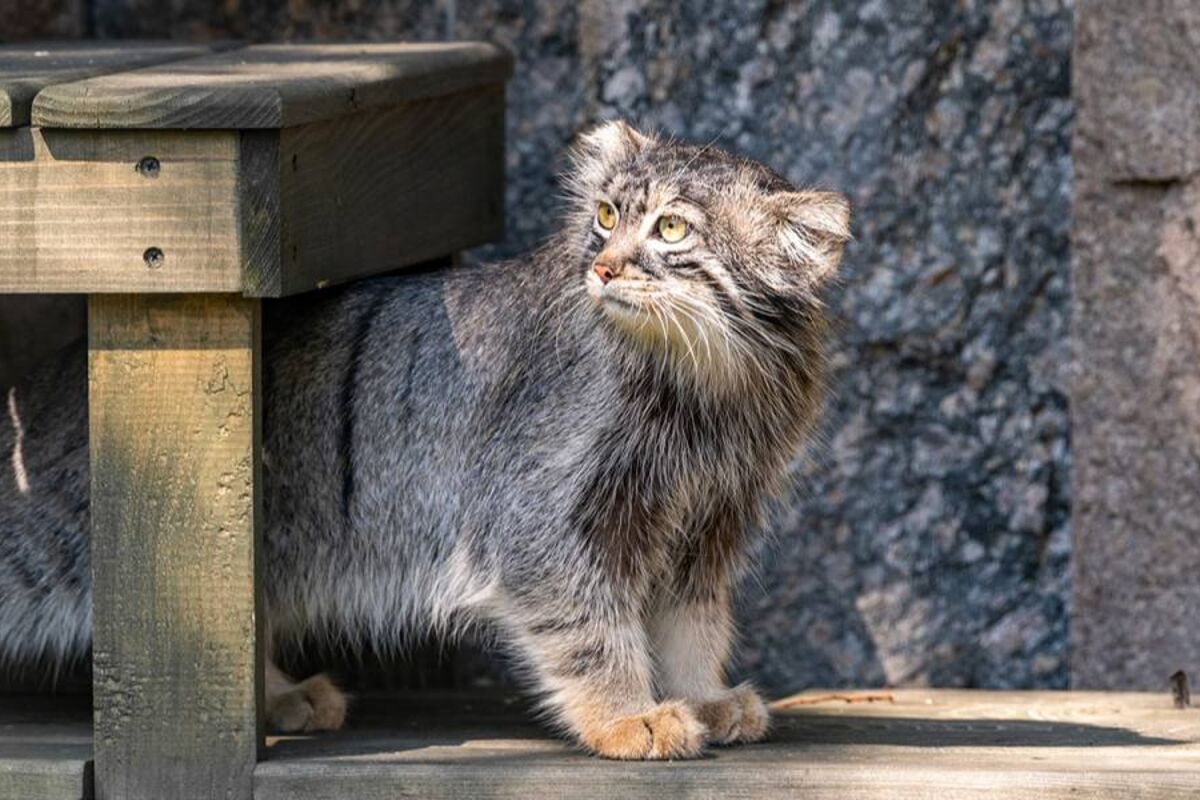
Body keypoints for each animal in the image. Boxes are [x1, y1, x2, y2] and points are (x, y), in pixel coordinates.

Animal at [0, 122, 849, 762]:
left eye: (671, 227)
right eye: (607, 216)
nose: (603, 269)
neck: (710, 382)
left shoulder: (707, 521)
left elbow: (692, 622)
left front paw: (702, 695)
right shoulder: (542, 517)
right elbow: (590, 628)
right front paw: (623, 715)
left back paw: (279, 695)